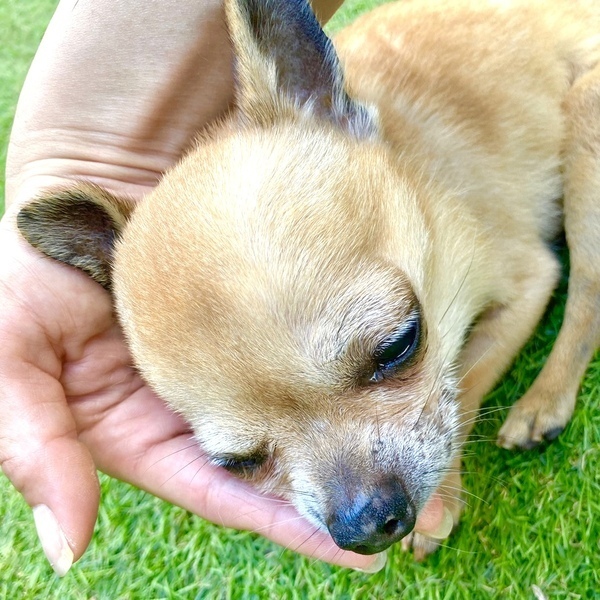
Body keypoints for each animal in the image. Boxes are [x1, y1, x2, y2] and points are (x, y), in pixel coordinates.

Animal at [16, 0, 600, 559]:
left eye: (399, 345)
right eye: (237, 463)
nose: (363, 524)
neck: (414, 182)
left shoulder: (527, 280)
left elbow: (465, 377)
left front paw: (448, 490)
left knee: (586, 297)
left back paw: (543, 400)